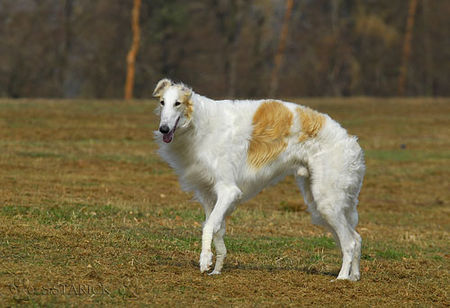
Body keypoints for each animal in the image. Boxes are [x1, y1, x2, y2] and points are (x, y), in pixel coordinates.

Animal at [153, 78, 364, 280]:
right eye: (162, 102)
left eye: (178, 103)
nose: (164, 129)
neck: (200, 124)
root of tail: (351, 142)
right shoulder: (207, 194)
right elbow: (216, 229)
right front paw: (217, 269)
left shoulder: (228, 190)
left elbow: (208, 227)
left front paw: (205, 261)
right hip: (319, 202)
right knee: (356, 238)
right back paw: (353, 277)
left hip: (327, 200)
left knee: (350, 242)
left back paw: (342, 278)